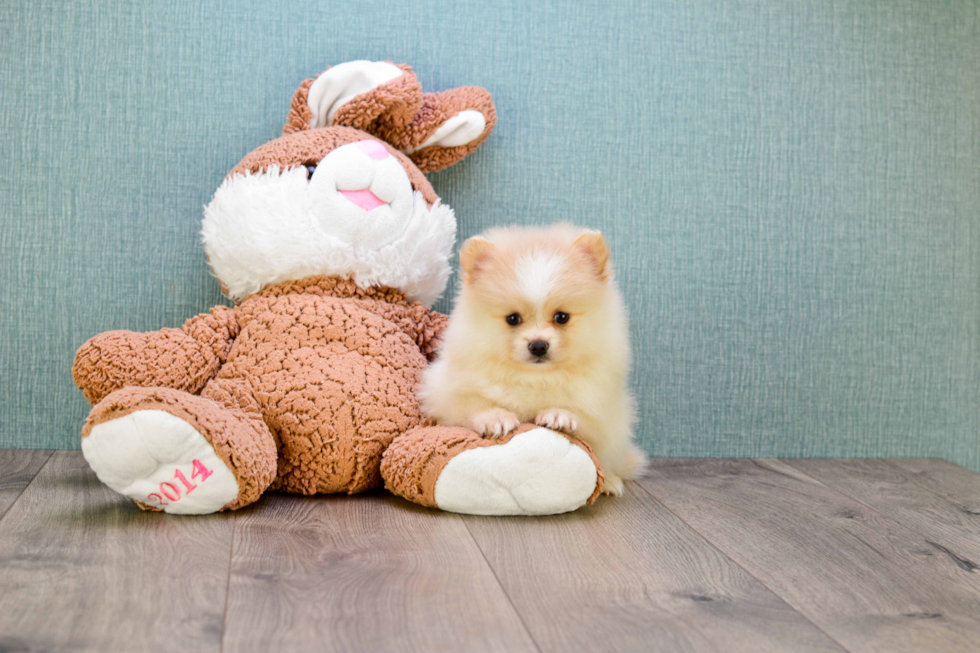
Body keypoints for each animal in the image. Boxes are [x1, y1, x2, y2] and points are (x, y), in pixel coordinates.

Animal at [422, 224, 644, 494]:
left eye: (562, 317)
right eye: (513, 319)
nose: (538, 345)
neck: (535, 378)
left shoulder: (601, 408)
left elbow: (584, 418)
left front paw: (559, 415)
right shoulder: (445, 393)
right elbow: (472, 404)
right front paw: (496, 417)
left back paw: (610, 481)